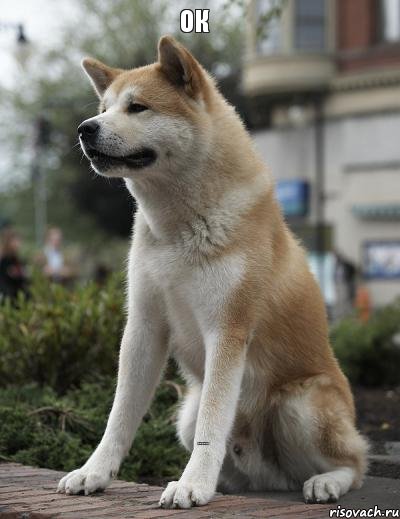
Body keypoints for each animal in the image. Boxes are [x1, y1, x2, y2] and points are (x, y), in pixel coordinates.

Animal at [57, 35, 368, 508]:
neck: (178, 228)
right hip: (185, 411)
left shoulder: (227, 329)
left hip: (300, 405)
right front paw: (94, 472)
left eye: (137, 107)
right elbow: (119, 417)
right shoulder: (144, 327)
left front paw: (192, 485)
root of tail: (272, 479)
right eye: (105, 107)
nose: (85, 128)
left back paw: (325, 481)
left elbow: (213, 422)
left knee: (355, 464)